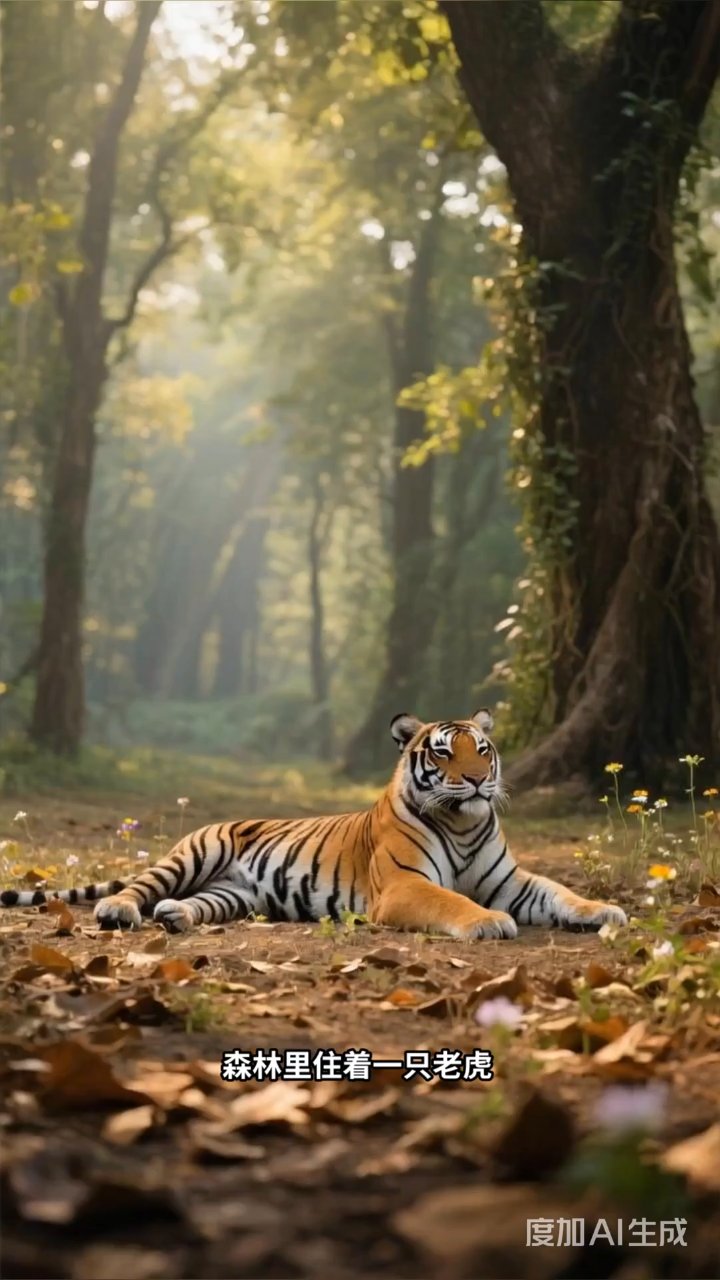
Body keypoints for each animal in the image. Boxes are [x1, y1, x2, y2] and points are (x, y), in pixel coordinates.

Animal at [0, 710, 627, 939]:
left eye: (484, 750)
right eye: (444, 753)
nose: (476, 781)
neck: (464, 824)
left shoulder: (513, 881)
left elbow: (560, 892)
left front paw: (606, 911)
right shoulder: (403, 887)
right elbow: (453, 901)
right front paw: (488, 922)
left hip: (234, 894)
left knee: (194, 903)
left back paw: (176, 916)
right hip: (193, 854)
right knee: (136, 887)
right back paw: (120, 910)